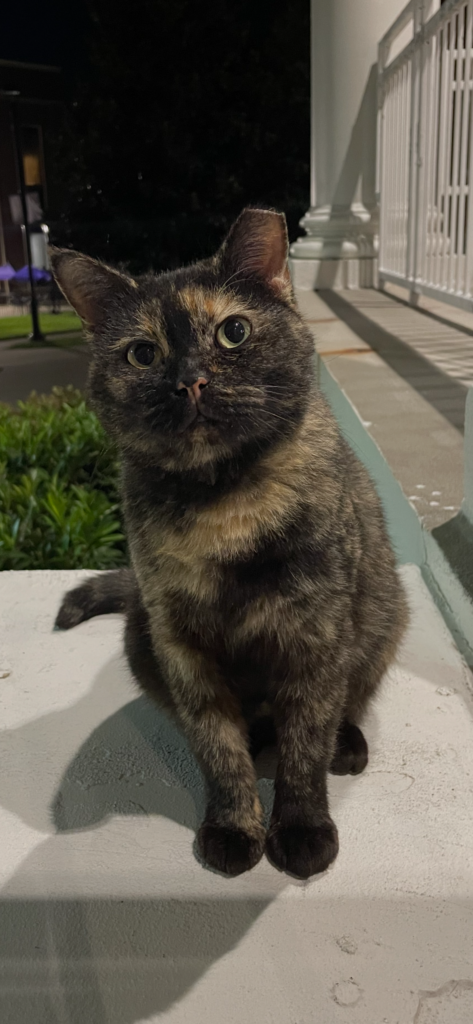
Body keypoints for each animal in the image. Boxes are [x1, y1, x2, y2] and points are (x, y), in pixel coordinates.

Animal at [51, 208, 408, 880]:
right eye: (142, 354)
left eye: (233, 332)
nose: (189, 381)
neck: (226, 502)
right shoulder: (183, 647)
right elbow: (219, 748)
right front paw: (235, 828)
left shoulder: (316, 638)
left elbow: (304, 748)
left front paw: (301, 831)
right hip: (140, 636)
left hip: (383, 619)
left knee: (345, 707)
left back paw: (347, 745)